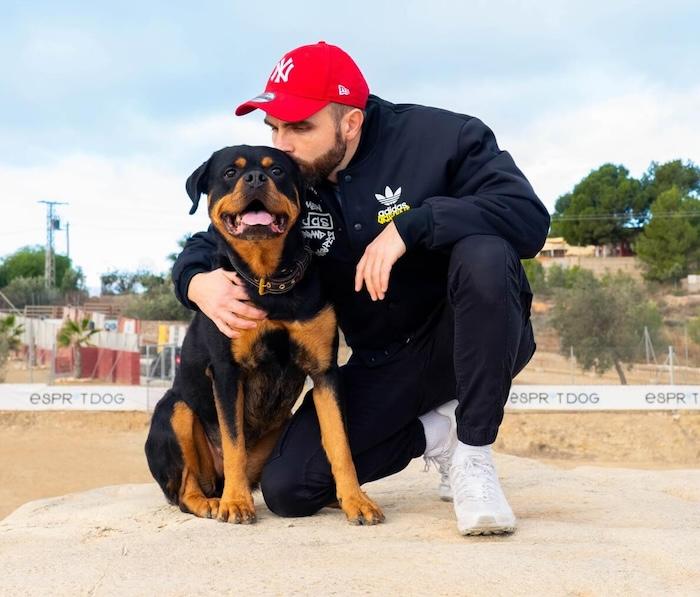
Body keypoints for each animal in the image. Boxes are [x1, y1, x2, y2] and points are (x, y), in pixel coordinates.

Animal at [146, 147, 386, 524]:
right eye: (230, 172)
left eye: (277, 171)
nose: (256, 178)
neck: (268, 280)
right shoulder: (227, 373)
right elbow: (234, 443)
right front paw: (236, 504)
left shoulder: (325, 372)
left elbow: (339, 444)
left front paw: (355, 499)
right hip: (174, 410)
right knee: (186, 490)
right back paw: (214, 501)